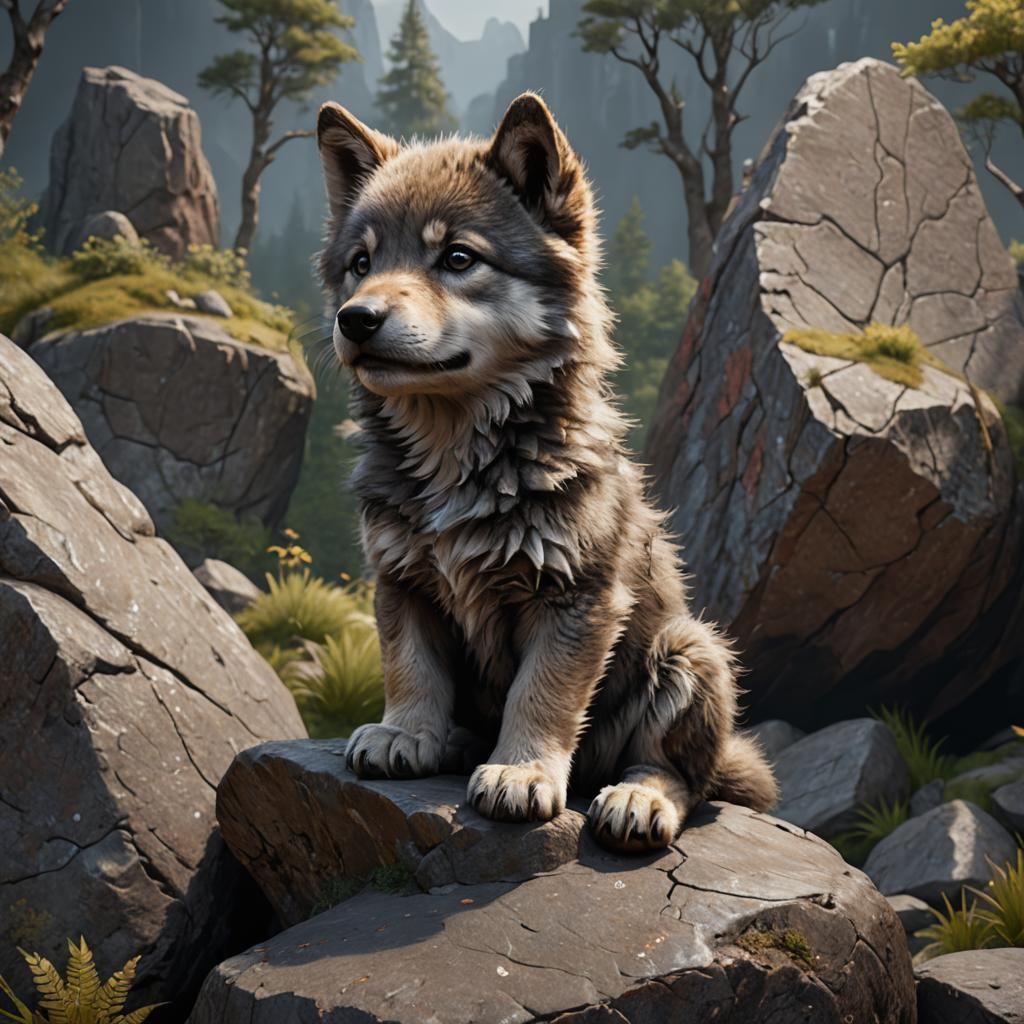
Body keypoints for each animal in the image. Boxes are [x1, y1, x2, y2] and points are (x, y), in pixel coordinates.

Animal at [316, 92, 777, 853]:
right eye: (361, 263)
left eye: (458, 258)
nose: (356, 320)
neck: (457, 453)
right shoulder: (402, 580)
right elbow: (410, 668)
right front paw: (406, 732)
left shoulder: (576, 600)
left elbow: (543, 694)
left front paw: (522, 771)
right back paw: (451, 741)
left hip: (691, 650)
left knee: (683, 774)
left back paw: (638, 798)